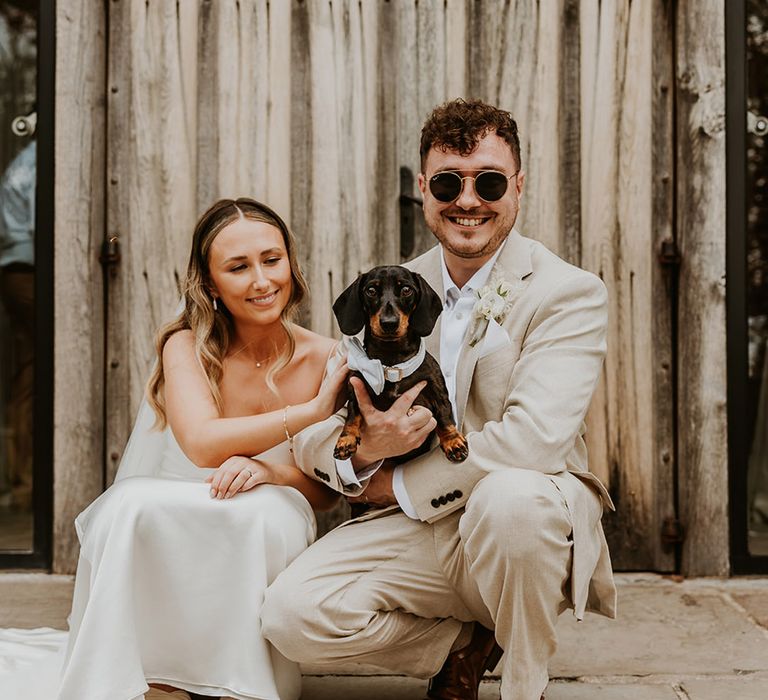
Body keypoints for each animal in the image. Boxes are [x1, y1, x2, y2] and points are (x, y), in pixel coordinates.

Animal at [334, 264, 468, 464]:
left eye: (406, 289)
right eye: (371, 290)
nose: (389, 323)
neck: (392, 365)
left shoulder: (439, 394)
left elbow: (445, 417)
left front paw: (453, 441)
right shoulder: (355, 393)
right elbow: (351, 416)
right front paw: (346, 440)